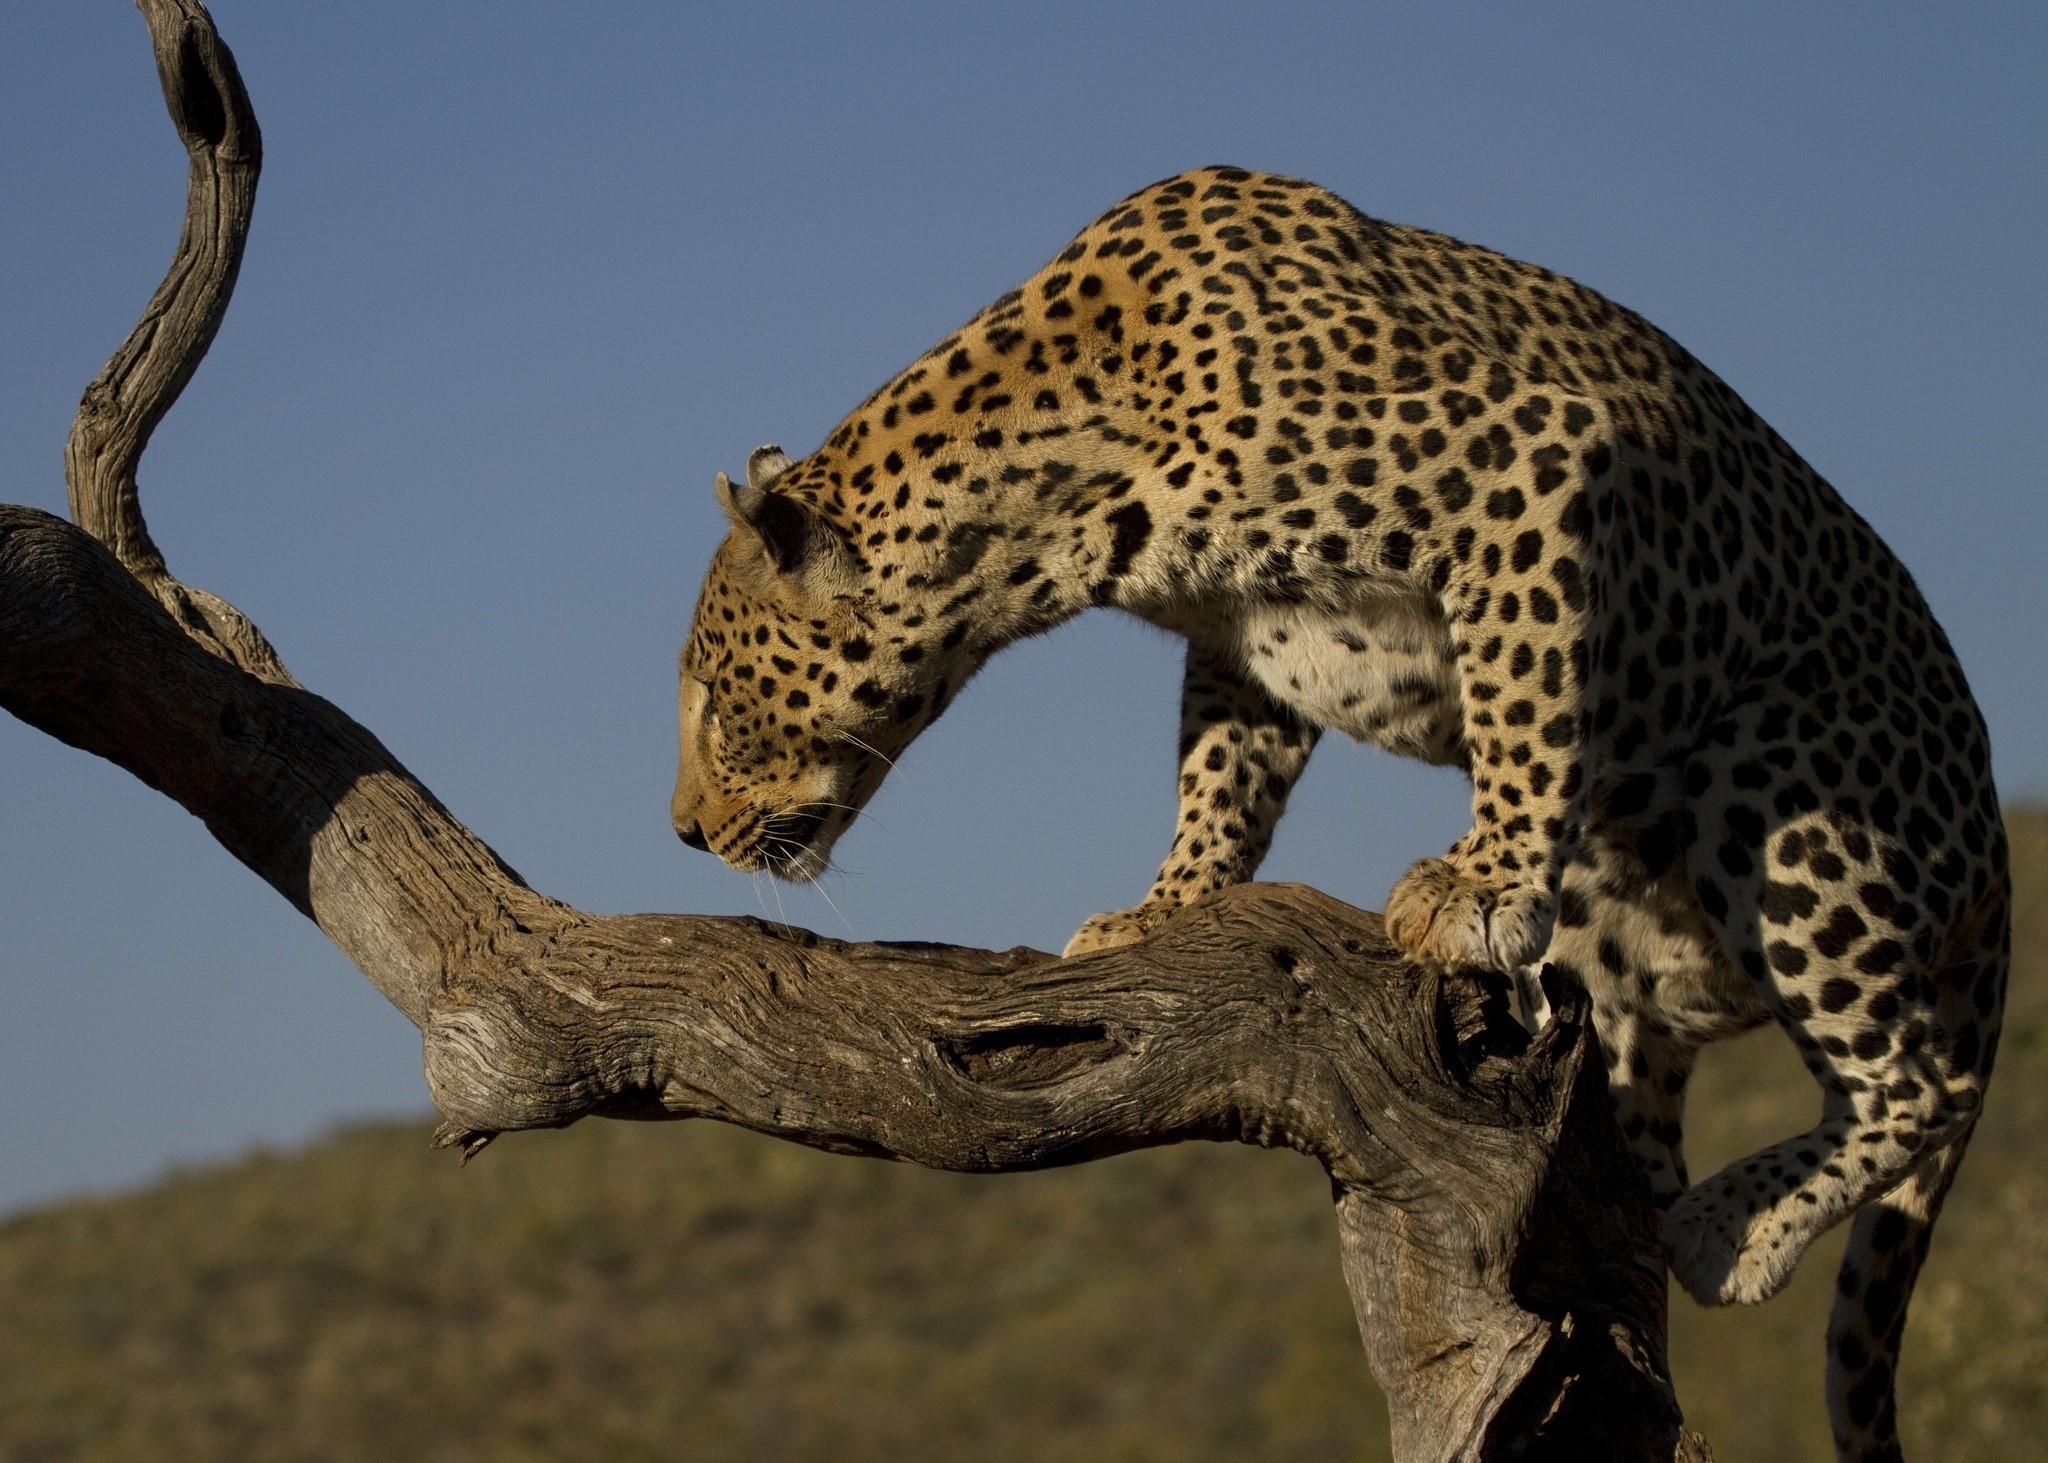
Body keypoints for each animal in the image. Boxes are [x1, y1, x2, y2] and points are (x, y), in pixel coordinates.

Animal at [669, 167, 2007, 1461]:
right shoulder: (1241, 641)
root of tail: (1993, 829)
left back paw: (1731, 1226)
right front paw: (1162, 908)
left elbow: (1522, 694)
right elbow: (1217, 783)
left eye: (709, 697)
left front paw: (1479, 879)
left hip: (1787, 795)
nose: (681, 828)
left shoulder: (1532, 466)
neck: (1061, 512)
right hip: (1633, 963)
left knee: (1912, 1085)